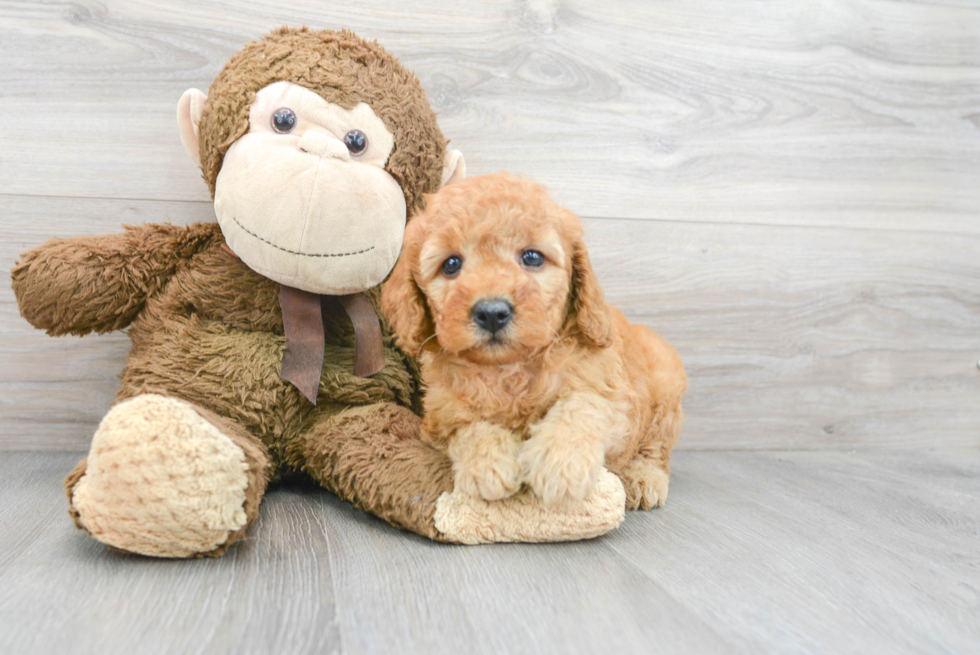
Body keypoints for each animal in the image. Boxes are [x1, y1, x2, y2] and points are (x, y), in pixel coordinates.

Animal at [378, 174, 684, 512]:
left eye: (532, 257)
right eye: (451, 264)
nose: (491, 313)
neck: (509, 368)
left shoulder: (613, 396)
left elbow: (583, 406)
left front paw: (561, 464)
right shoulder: (440, 417)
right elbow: (468, 428)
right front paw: (488, 464)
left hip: (666, 385)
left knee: (656, 447)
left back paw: (643, 477)